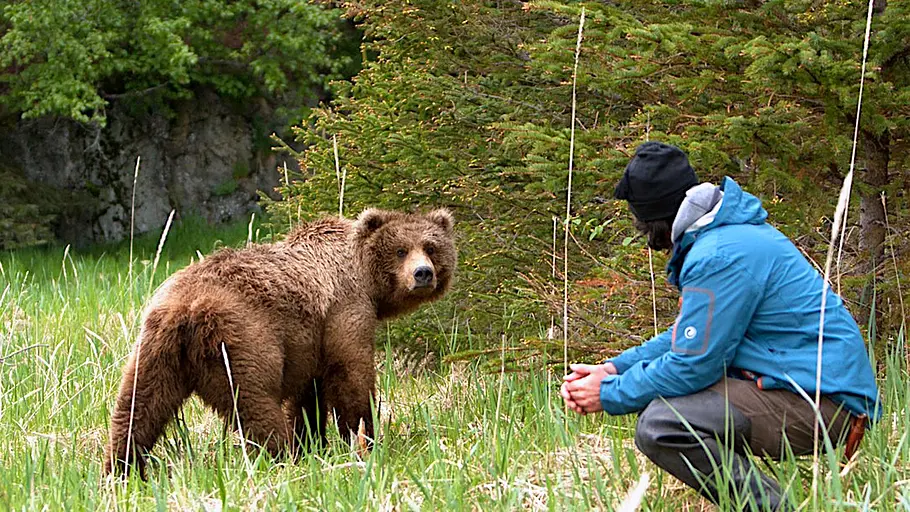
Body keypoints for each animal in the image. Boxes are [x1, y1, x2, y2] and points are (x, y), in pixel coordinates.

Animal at [103, 208, 456, 477]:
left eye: (430, 247)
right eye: (400, 250)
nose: (423, 274)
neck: (364, 277)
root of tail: (185, 309)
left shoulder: (309, 340)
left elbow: (308, 396)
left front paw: (314, 441)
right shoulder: (344, 309)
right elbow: (350, 375)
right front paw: (363, 439)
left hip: (155, 349)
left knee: (137, 407)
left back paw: (120, 469)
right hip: (242, 340)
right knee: (255, 404)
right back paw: (283, 458)